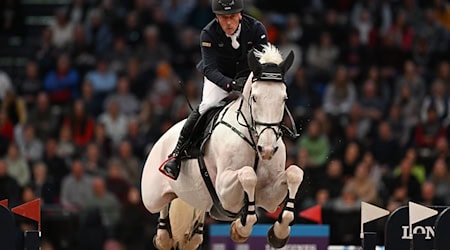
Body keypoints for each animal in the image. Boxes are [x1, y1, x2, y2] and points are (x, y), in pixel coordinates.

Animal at [142, 44, 302, 249]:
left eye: (284, 98)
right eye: (255, 98)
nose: (266, 150)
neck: (253, 139)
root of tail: (163, 136)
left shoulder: (269, 196)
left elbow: (295, 173)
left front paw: (278, 233)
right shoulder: (225, 191)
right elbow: (248, 175)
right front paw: (241, 229)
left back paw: (193, 236)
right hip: (152, 196)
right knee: (163, 203)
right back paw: (163, 236)